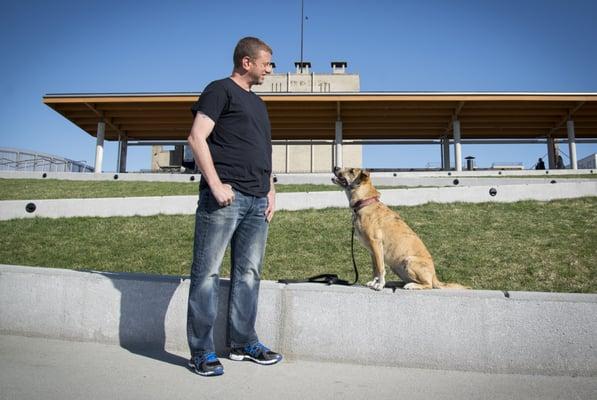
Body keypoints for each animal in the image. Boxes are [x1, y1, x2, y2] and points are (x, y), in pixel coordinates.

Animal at [332, 166, 468, 290]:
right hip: (397, 266)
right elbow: (375, 269)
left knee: (428, 285)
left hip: (409, 261)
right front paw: (374, 282)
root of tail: (435, 277)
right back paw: (394, 283)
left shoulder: (376, 244)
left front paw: (380, 285)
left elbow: (381, 269)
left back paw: (411, 286)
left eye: (351, 170)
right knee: (406, 281)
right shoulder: (373, 251)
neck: (365, 202)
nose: (335, 167)